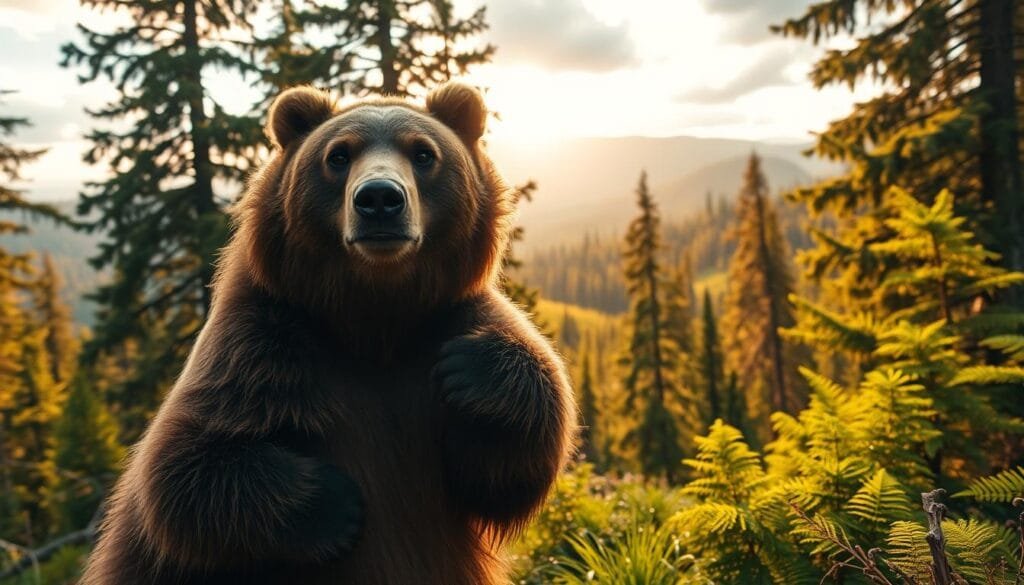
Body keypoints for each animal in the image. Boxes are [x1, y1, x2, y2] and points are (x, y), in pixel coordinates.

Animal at [80, 81, 577, 585]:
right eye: (338, 155)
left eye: (423, 153)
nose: (379, 199)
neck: (375, 319)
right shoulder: (265, 342)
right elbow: (182, 467)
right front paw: (336, 505)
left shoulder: (445, 326)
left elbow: (498, 475)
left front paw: (473, 368)